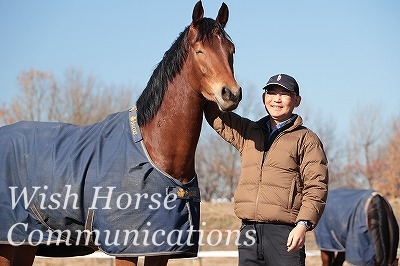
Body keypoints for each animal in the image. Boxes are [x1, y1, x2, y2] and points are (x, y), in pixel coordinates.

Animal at [0, 1, 241, 264]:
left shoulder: (161, 249)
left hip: (26, 241)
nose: (231, 93)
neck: (154, 149)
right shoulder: (126, 247)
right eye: (199, 51)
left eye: (231, 50)